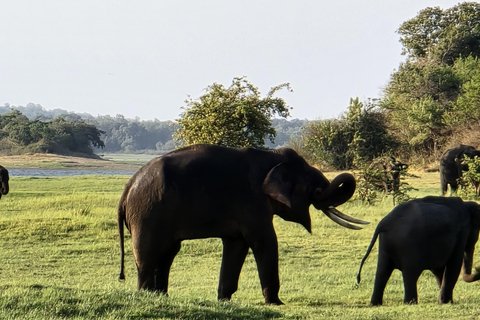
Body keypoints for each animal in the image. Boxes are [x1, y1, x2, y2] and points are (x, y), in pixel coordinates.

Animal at [118, 144, 370, 304]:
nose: (321, 191)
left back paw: (161, 297)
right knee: (149, 255)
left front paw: (224, 300)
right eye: (313, 186)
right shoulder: (252, 201)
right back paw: (147, 295)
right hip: (148, 213)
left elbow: (237, 244)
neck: (270, 157)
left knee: (167, 253)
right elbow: (265, 241)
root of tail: (128, 187)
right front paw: (276, 303)